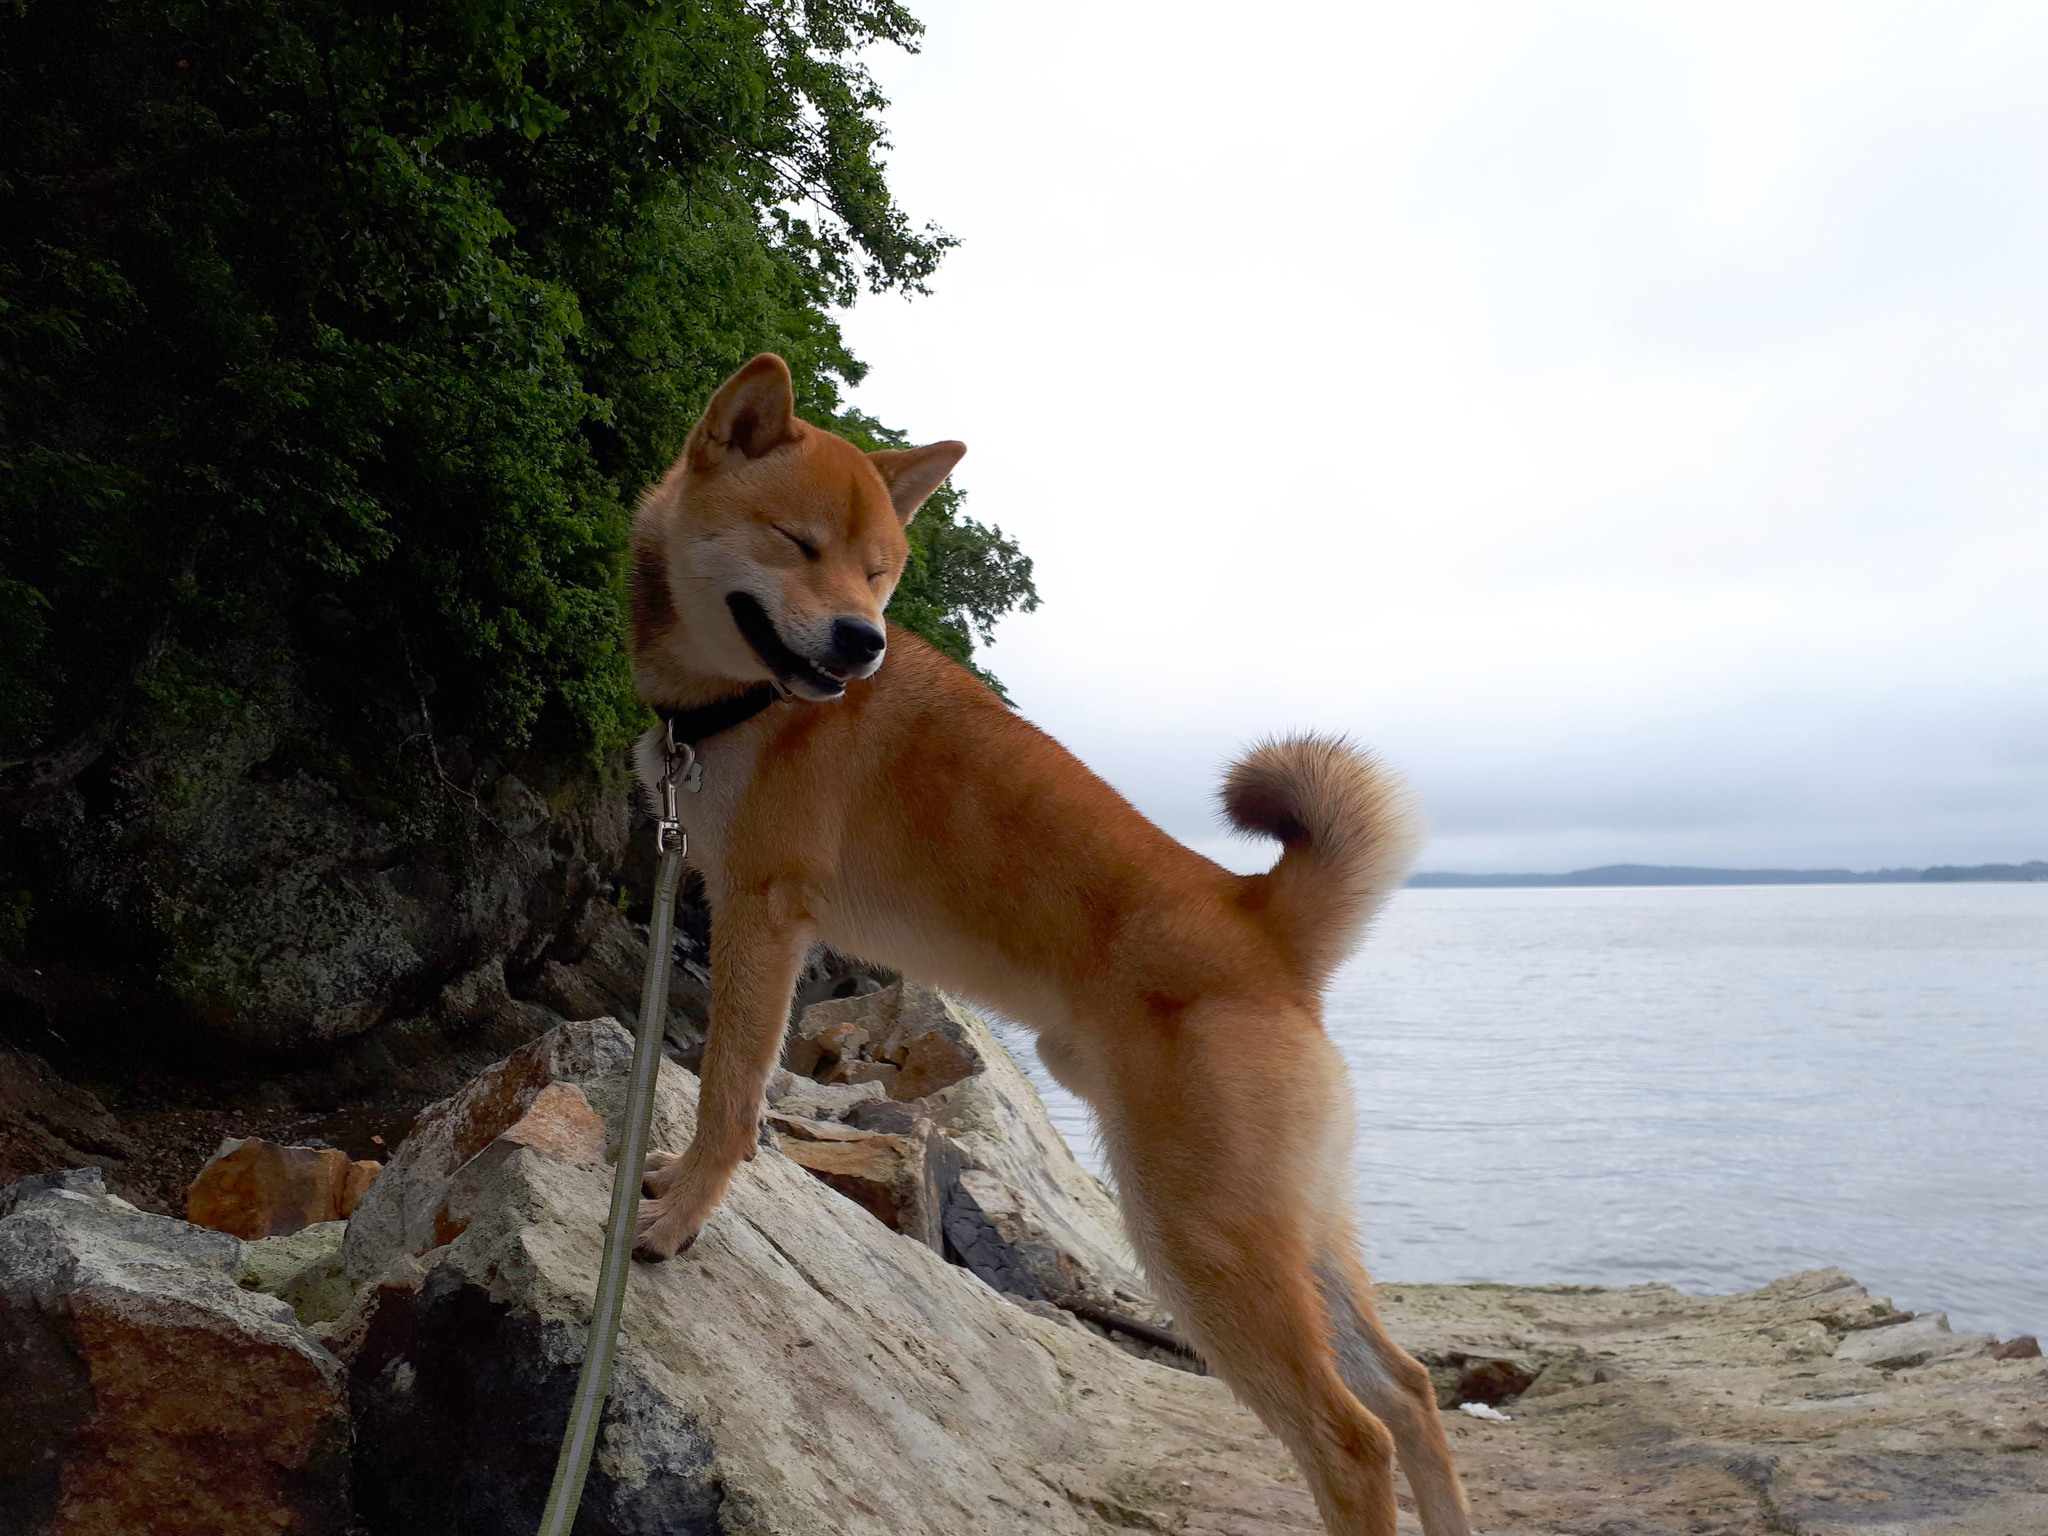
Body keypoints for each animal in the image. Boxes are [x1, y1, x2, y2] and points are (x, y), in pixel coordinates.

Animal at [622, 354, 1474, 1531]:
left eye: (878, 574)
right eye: (799, 544)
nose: (860, 642)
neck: (738, 708)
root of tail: (1261, 920)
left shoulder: (763, 913)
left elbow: (727, 1097)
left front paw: (681, 1215)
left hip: (1198, 1242)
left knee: (1352, 1441)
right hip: (1299, 1226)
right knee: (1411, 1392)